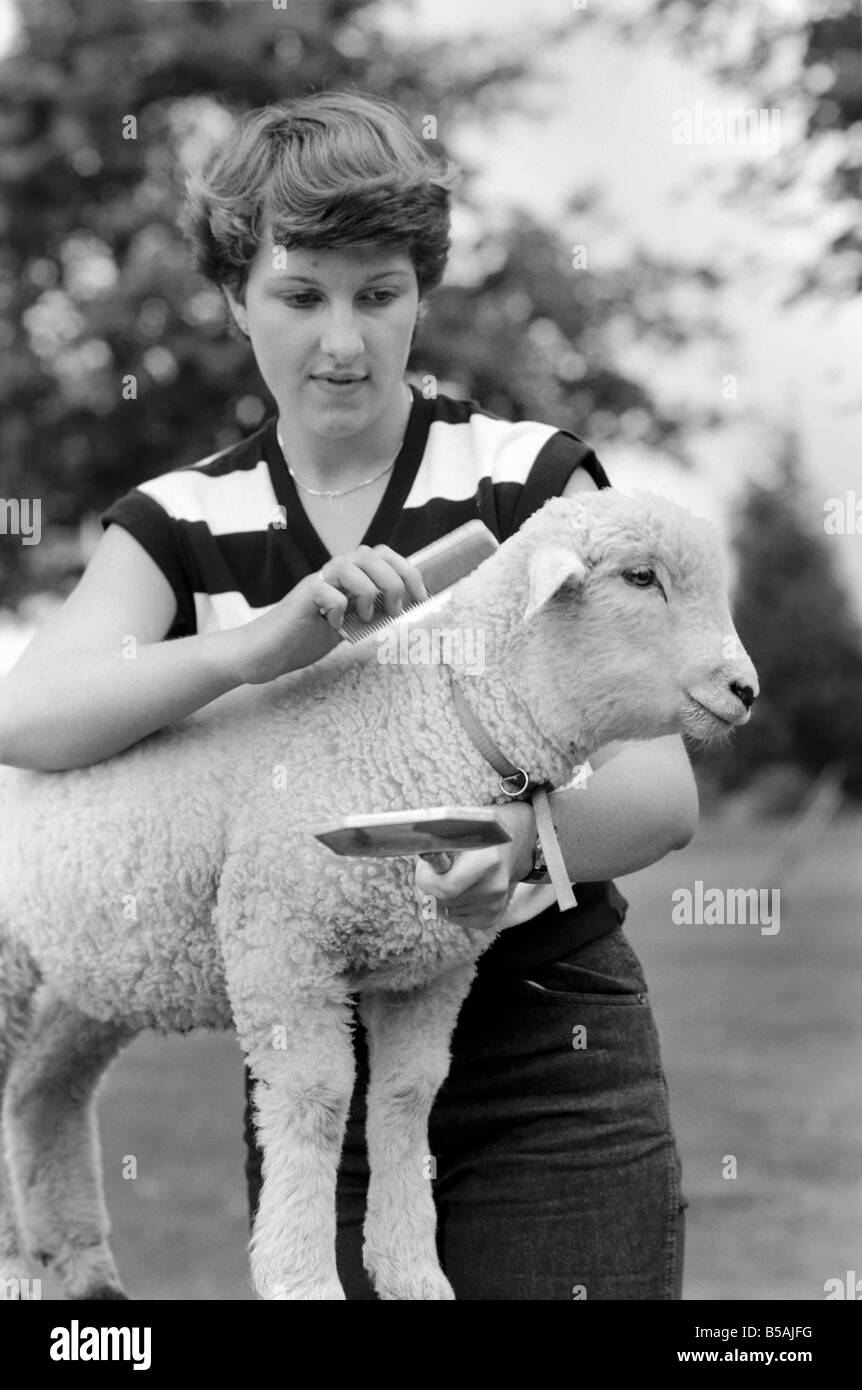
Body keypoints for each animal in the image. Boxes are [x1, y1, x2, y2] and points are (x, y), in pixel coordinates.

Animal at [0, 492, 756, 1301]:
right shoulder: (280, 938)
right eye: (640, 577)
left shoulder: (431, 961)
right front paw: (301, 1277)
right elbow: (319, 1096)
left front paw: (409, 1269)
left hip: (106, 964)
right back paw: (18, 1266)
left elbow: (407, 1093)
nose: (747, 691)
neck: (441, 713)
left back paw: (83, 1267)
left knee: (44, 1085)